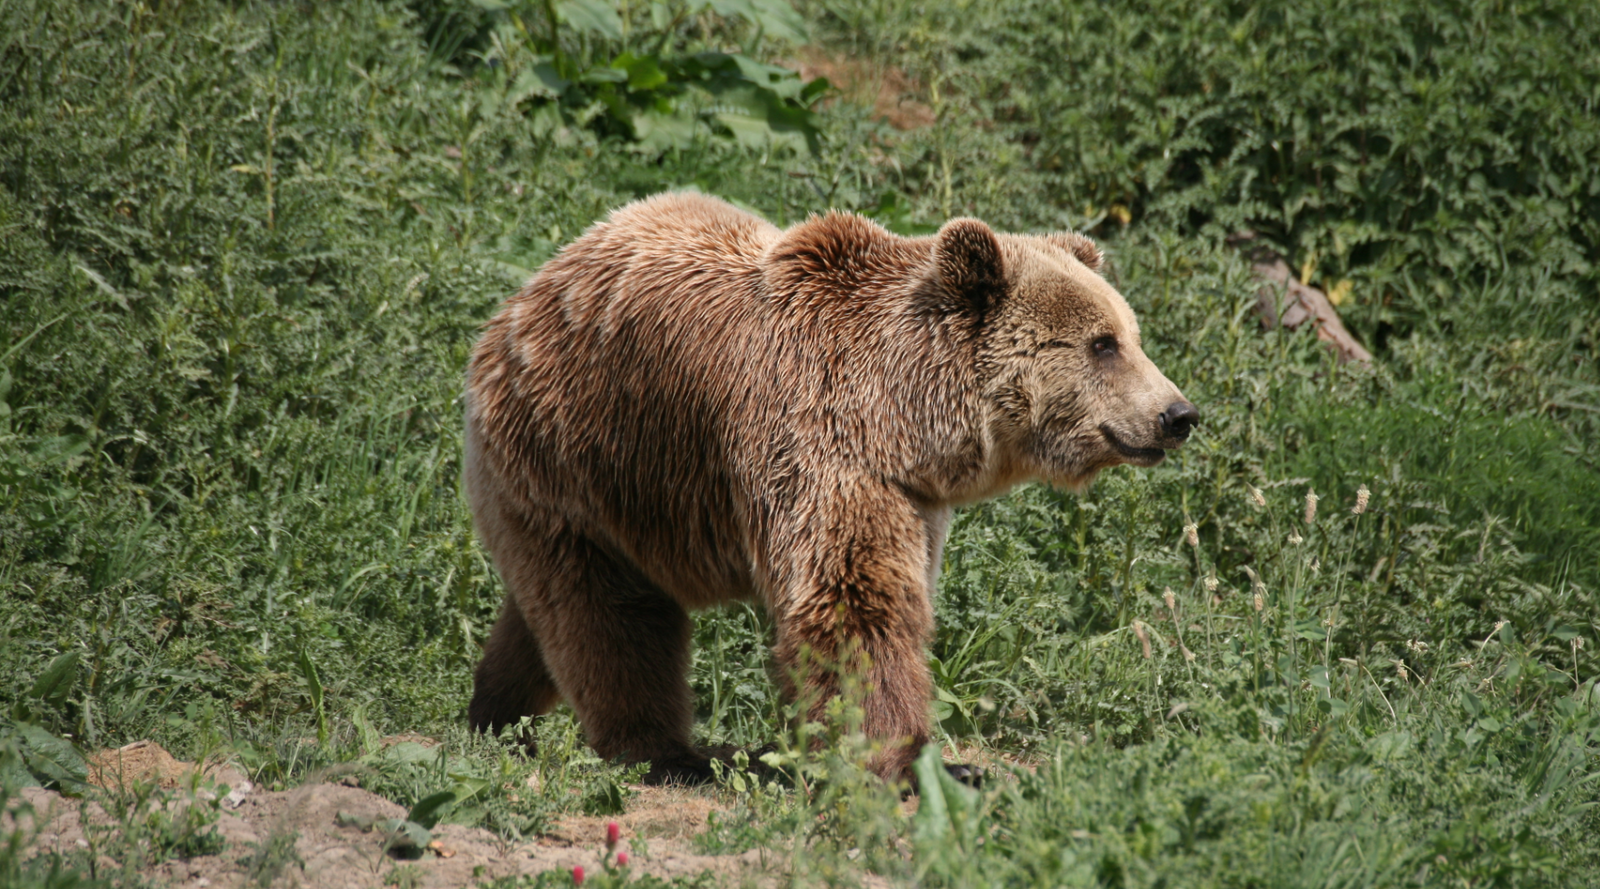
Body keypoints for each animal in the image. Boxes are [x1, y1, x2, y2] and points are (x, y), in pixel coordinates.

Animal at [463, 192, 1197, 784]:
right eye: (1102, 343)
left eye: (1129, 334)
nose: (1178, 413)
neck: (902, 415)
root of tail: (521, 298)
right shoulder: (818, 447)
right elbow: (854, 607)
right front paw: (910, 763)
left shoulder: (915, 500)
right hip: (578, 456)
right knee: (609, 618)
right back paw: (662, 753)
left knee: (548, 616)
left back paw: (493, 714)